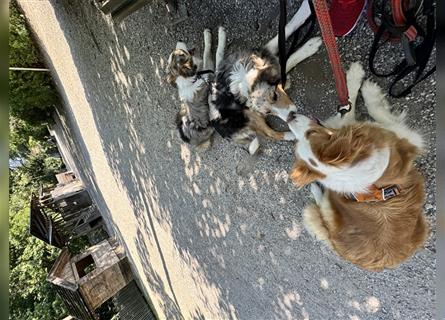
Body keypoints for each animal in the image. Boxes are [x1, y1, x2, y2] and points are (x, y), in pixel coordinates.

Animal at [278, 63, 426, 272]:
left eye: (310, 133)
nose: (290, 117)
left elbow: (349, 109)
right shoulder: (408, 137)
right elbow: (360, 108)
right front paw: (363, 84)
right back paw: (316, 189)